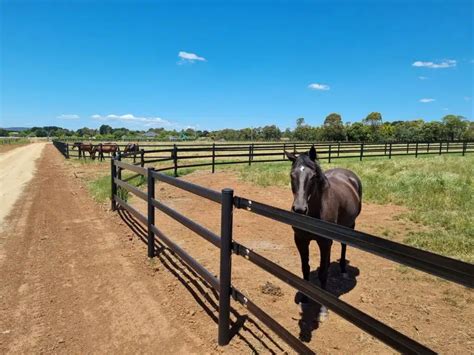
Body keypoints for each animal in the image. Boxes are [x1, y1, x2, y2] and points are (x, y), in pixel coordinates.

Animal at [286, 146, 362, 322]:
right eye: (292, 175)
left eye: (313, 176)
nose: (299, 209)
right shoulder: (300, 240)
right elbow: (305, 268)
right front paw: (305, 297)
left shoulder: (324, 242)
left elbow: (322, 274)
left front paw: (323, 310)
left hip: (349, 226)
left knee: (343, 245)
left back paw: (343, 269)